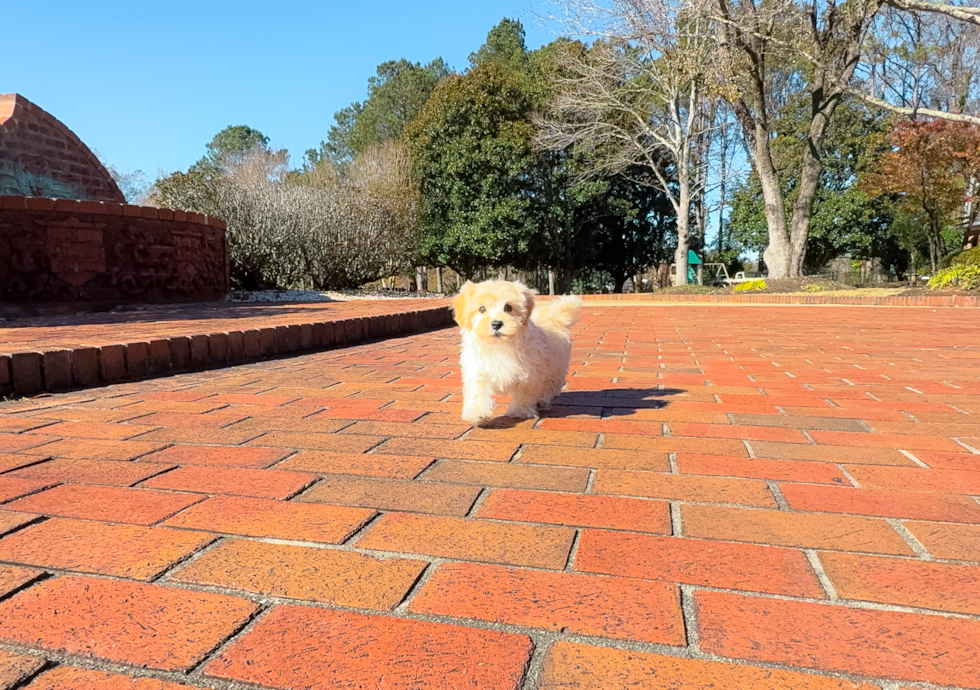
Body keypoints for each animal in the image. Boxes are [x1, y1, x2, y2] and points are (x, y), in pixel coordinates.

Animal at [454, 278, 580, 420]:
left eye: (508, 307)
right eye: (481, 309)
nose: (496, 324)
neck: (500, 345)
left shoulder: (530, 374)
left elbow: (524, 393)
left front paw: (520, 411)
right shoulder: (477, 369)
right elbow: (477, 391)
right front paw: (477, 412)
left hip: (556, 369)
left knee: (549, 386)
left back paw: (542, 401)